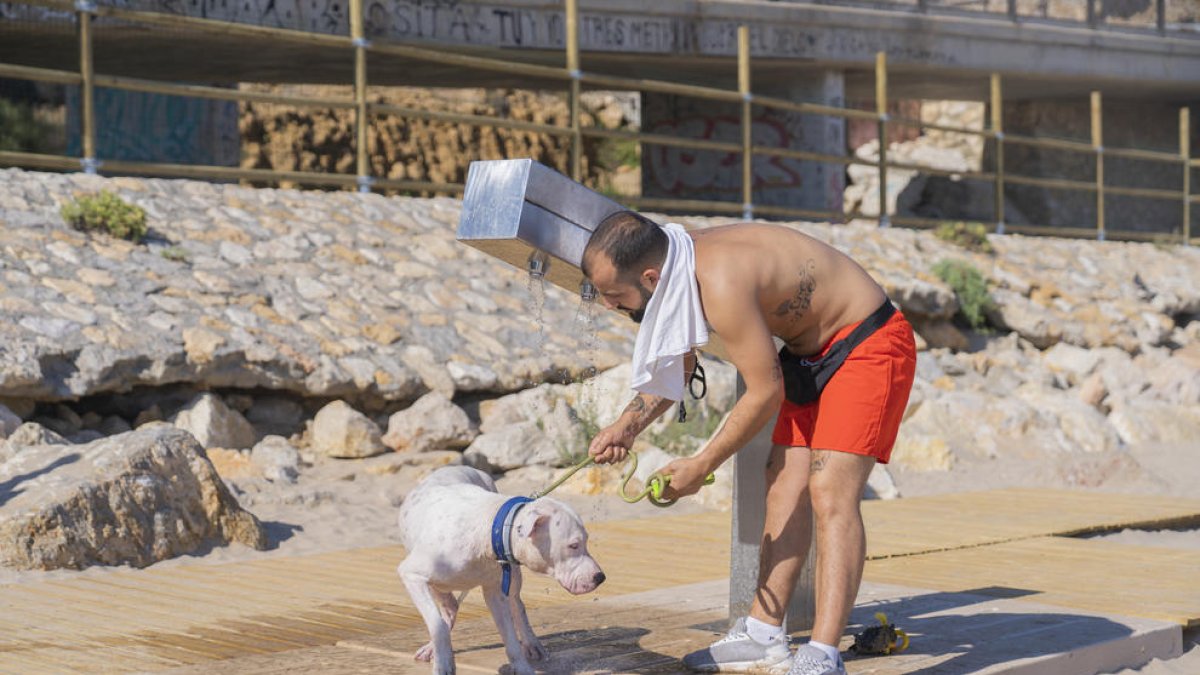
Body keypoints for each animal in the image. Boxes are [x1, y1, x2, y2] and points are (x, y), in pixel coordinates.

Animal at [398, 466, 604, 667]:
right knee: (448, 609)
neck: (488, 529)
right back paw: (433, 647)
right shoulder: (412, 575)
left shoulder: (495, 592)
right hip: (437, 585)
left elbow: (512, 642)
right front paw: (444, 664)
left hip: (512, 577)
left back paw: (531, 643)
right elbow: (437, 625)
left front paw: (523, 669)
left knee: (517, 606)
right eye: (574, 545)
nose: (600, 577)